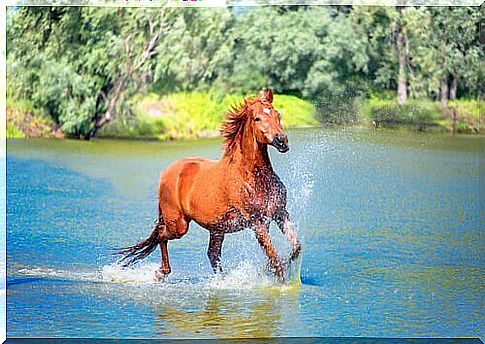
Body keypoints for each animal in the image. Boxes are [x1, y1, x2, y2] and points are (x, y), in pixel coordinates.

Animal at [118, 89, 298, 282]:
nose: (282, 141)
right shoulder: (257, 223)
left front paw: (270, 270)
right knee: (161, 234)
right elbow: (275, 260)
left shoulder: (280, 213)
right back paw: (161, 272)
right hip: (179, 225)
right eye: (257, 118)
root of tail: (168, 171)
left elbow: (295, 247)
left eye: (277, 115)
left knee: (212, 254)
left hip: (216, 229)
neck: (252, 178)